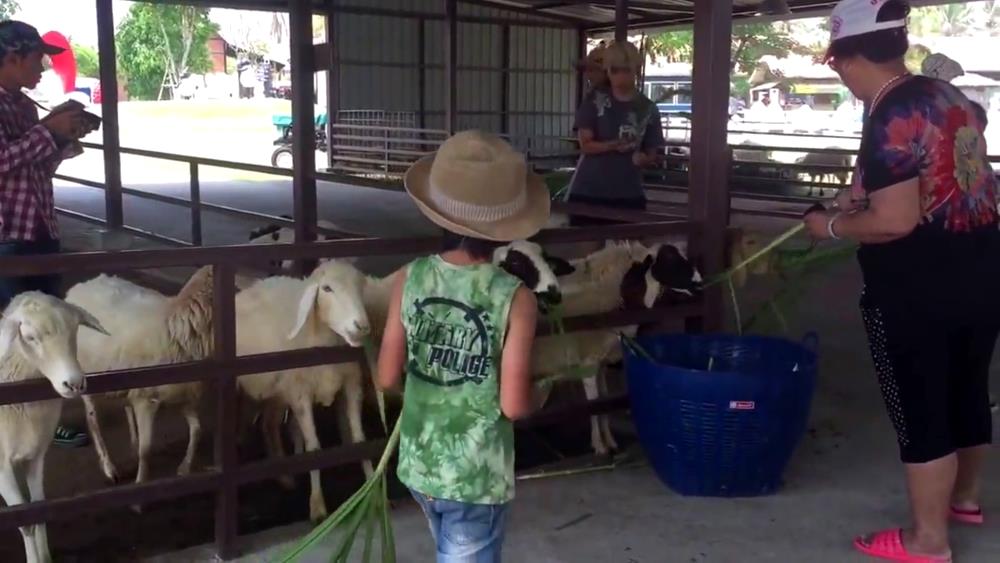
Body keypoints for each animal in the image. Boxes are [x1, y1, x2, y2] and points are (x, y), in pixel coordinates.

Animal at [0, 294, 107, 563]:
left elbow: (40, 509)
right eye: (29, 337)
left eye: (75, 330)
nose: (74, 384)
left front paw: (44, 557)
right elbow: (25, 522)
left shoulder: (36, 455)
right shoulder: (1, 466)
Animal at [67, 266, 216, 492]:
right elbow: (146, 449)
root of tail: (79, 286)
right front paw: (140, 483)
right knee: (92, 418)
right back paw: (109, 467)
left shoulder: (184, 395)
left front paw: (184, 468)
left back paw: (133, 441)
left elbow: (197, 430)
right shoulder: (146, 399)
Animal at [234, 262, 372, 524]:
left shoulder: (352, 385)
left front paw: (371, 486)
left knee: (269, 426)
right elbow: (314, 448)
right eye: (327, 288)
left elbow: (360, 440)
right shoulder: (301, 395)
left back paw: (286, 476)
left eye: (361, 285)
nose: (361, 327)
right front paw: (317, 506)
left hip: (277, 392)